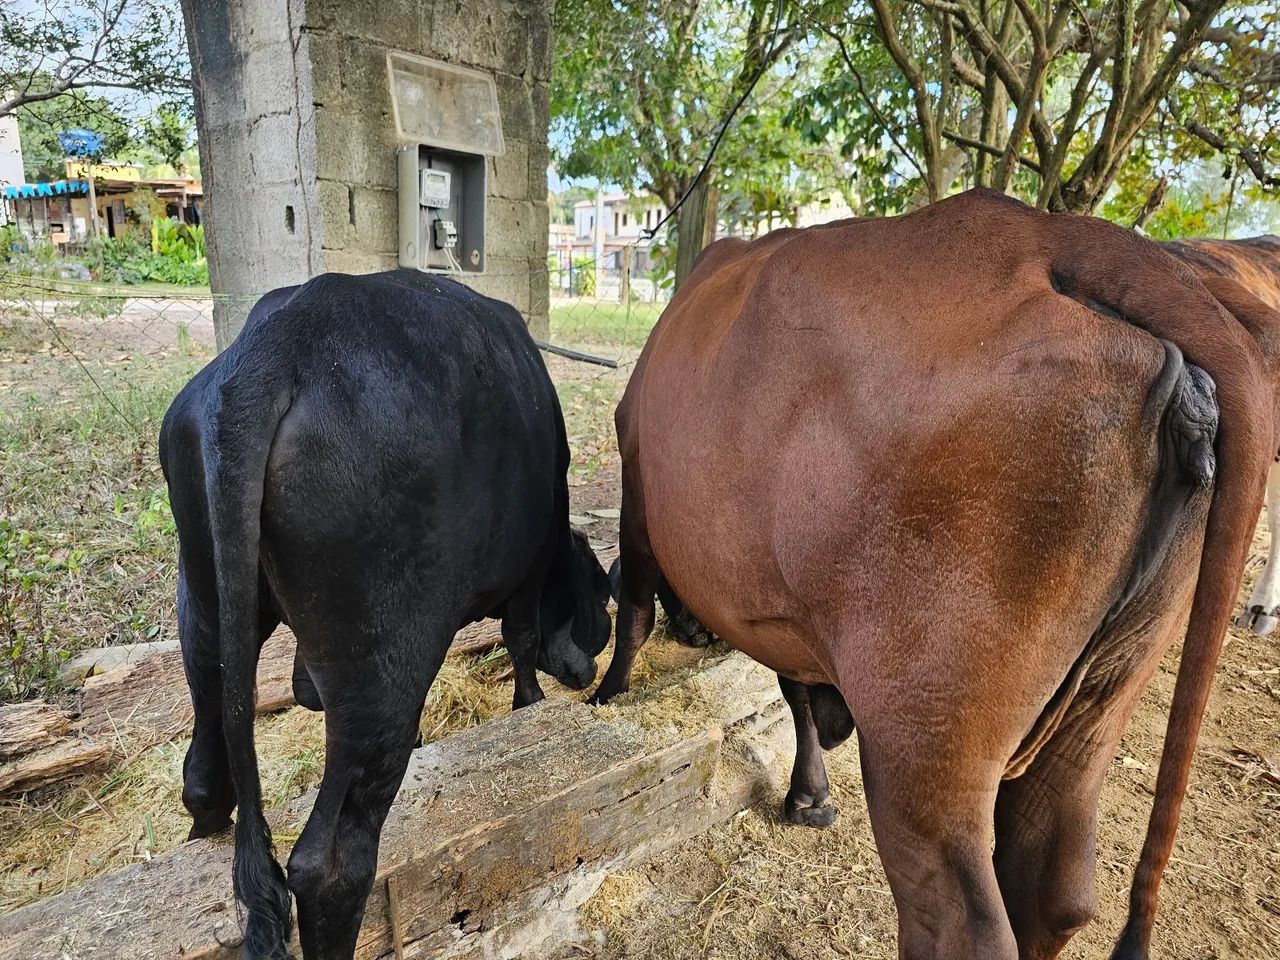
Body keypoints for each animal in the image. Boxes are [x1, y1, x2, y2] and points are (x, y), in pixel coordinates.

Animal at [159, 270, 612, 960]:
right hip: (383, 660)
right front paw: (529, 706)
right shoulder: (532, 562)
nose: (588, 669)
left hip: (204, 603)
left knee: (205, 767)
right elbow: (523, 633)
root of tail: (277, 346)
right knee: (330, 866)